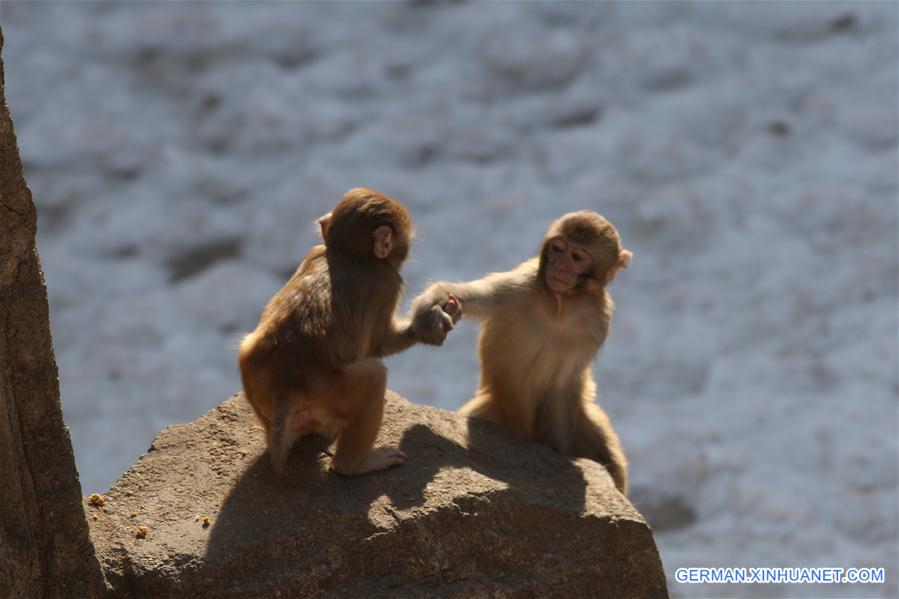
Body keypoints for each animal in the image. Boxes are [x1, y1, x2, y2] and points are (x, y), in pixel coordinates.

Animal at [239, 188, 460, 478]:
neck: (349, 254)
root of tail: (288, 387)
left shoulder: (314, 251)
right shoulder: (387, 282)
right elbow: (379, 345)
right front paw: (429, 324)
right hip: (335, 390)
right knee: (373, 378)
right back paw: (355, 464)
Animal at [414, 212, 632, 496]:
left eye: (576, 257)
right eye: (558, 248)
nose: (558, 268)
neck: (561, 305)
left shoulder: (598, 321)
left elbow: (562, 385)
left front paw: (560, 454)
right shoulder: (520, 285)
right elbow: (471, 295)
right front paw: (436, 305)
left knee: (610, 459)